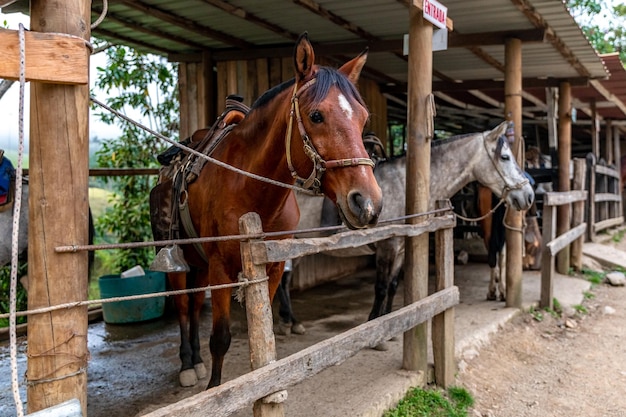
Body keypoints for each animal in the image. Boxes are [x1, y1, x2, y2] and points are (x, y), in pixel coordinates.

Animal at [149, 32, 380, 386]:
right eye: (316, 116)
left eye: (363, 118)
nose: (366, 202)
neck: (250, 189)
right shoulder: (221, 268)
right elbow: (220, 338)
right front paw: (215, 388)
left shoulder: (273, 265)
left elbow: (264, 331)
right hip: (179, 262)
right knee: (185, 307)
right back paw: (188, 364)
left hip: (199, 265)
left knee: (193, 303)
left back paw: (196, 360)